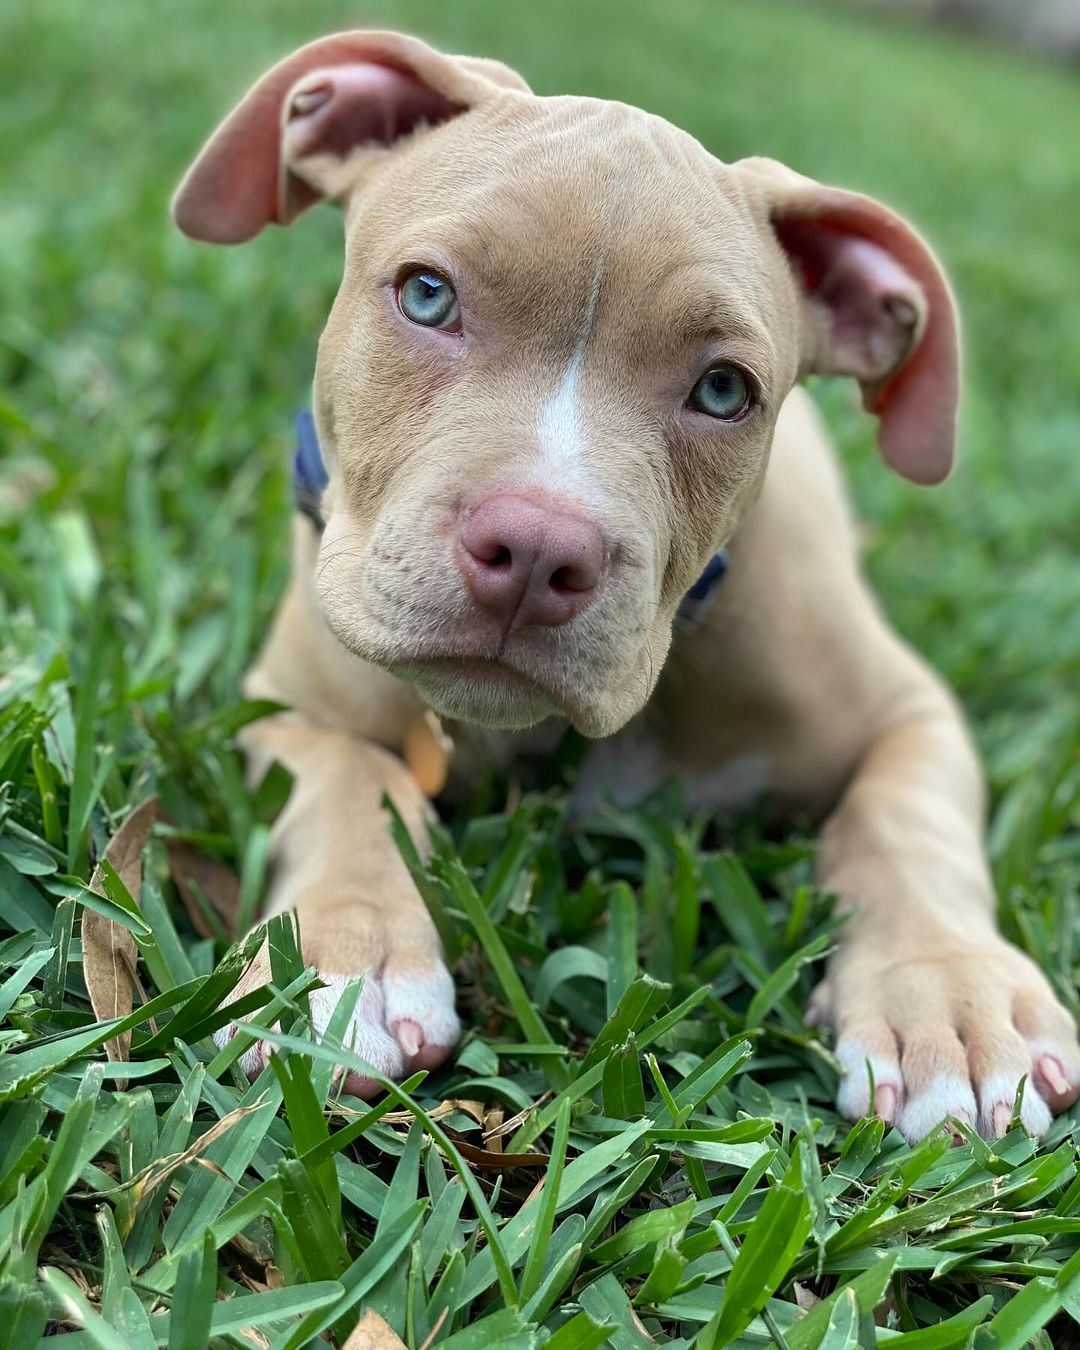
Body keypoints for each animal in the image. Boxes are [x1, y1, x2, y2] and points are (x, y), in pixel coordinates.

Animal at [175, 29, 1080, 1139]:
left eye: (724, 390)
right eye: (427, 295)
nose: (534, 551)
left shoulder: (911, 712)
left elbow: (908, 827)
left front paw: (950, 997)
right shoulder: (280, 706)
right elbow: (349, 779)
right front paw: (343, 967)